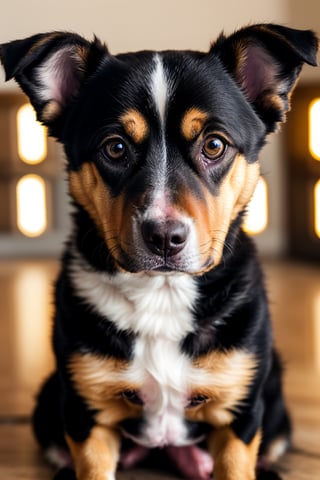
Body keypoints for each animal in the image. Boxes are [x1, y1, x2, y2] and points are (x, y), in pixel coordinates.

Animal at [0, 24, 318, 480]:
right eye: (115, 147)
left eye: (214, 145)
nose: (165, 237)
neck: (162, 294)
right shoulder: (86, 417)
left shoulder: (240, 419)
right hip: (49, 403)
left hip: (275, 408)